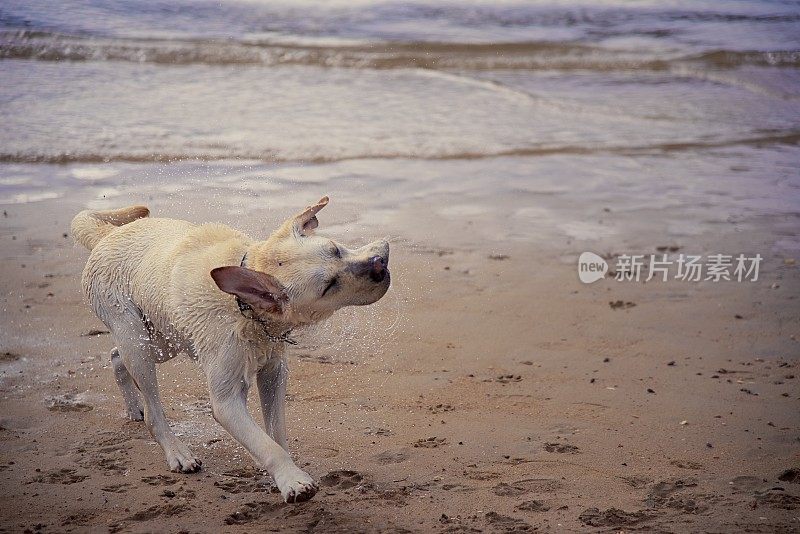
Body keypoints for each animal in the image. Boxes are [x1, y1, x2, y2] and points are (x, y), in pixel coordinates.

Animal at [70, 199, 390, 504]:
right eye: (328, 286)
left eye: (335, 249)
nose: (381, 262)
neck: (246, 308)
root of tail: (107, 235)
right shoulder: (226, 401)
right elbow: (267, 445)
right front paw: (293, 482)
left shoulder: (274, 374)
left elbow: (276, 433)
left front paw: (284, 473)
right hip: (137, 340)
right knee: (152, 409)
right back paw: (177, 453)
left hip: (162, 340)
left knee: (116, 357)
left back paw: (133, 408)